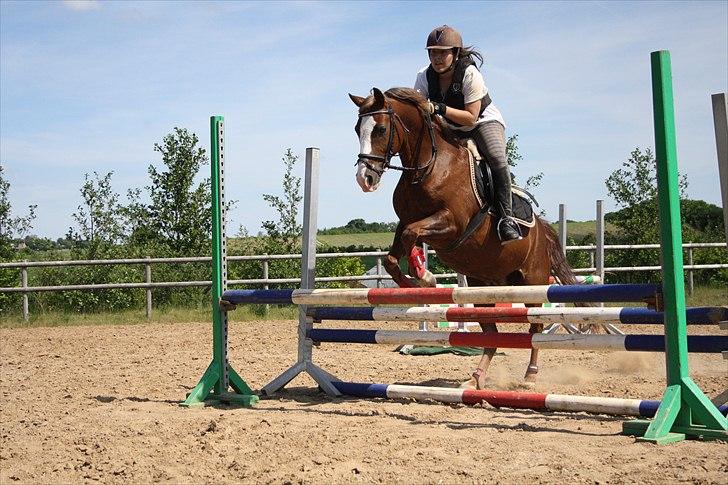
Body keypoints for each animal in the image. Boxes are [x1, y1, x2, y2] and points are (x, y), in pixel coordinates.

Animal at [350, 88, 584, 390]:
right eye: (358, 129)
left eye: (379, 129)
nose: (364, 179)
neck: (427, 169)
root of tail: (543, 230)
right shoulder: (405, 222)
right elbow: (393, 256)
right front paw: (417, 281)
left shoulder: (452, 224)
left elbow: (413, 234)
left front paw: (424, 278)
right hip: (482, 285)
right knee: (491, 333)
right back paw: (475, 379)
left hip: (533, 281)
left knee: (535, 326)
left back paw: (530, 376)